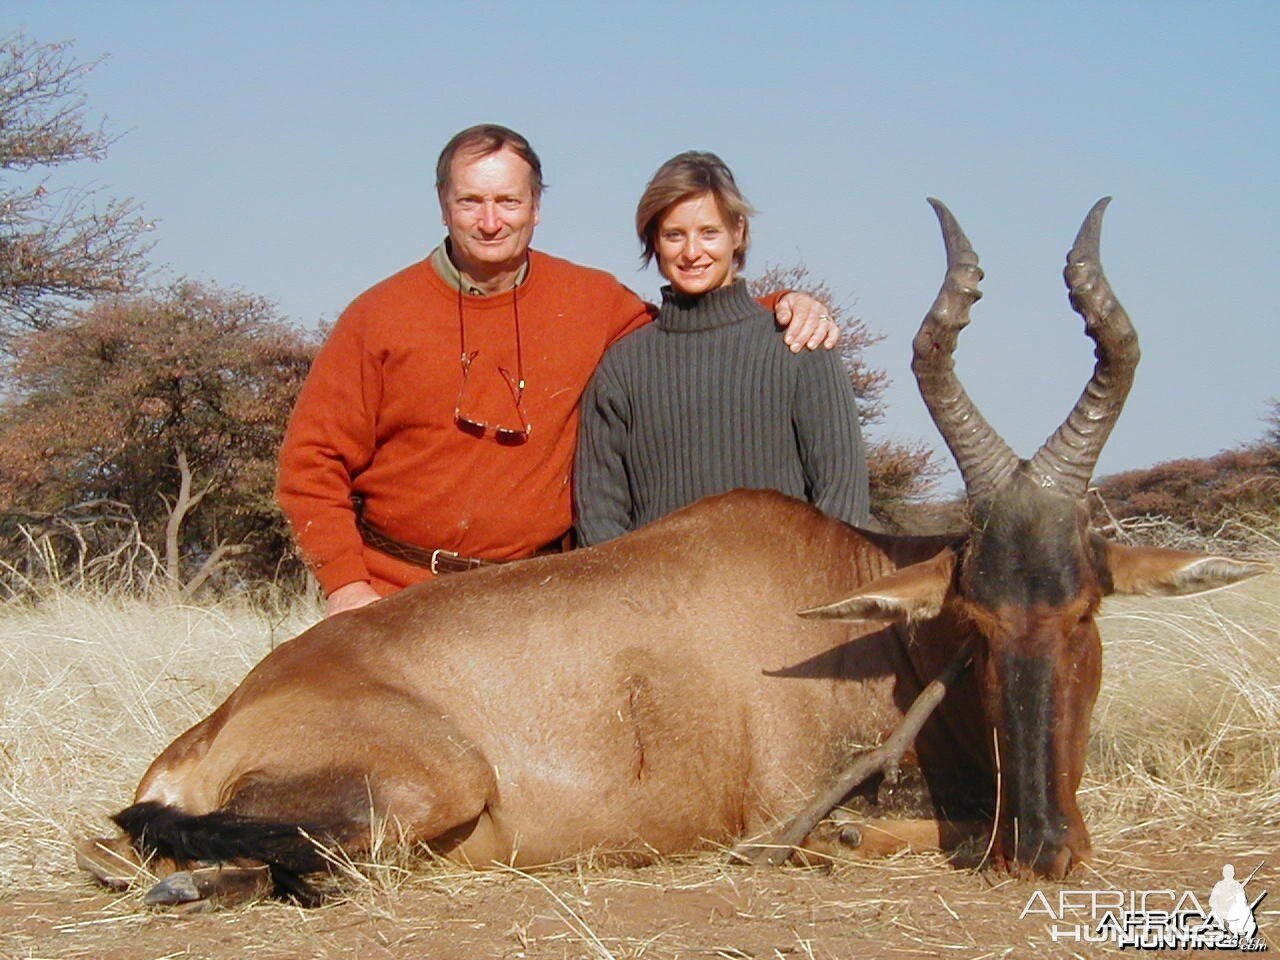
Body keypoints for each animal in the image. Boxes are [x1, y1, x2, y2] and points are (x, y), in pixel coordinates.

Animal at [80, 197, 1269, 911]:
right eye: (973, 617)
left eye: (1088, 607)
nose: (1049, 848)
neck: (848, 599)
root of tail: (211, 727)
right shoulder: (788, 805)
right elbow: (886, 833)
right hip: (431, 785)